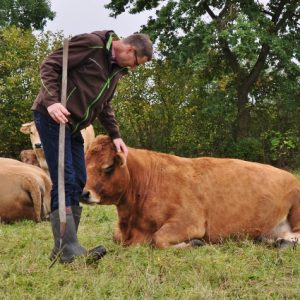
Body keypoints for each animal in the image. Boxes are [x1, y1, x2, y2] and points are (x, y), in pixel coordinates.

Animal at [83, 135, 300, 248]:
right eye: (84, 163)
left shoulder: (190, 222)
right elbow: (116, 236)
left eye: (108, 167)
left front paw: (195, 242)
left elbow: (158, 239)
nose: (84, 193)